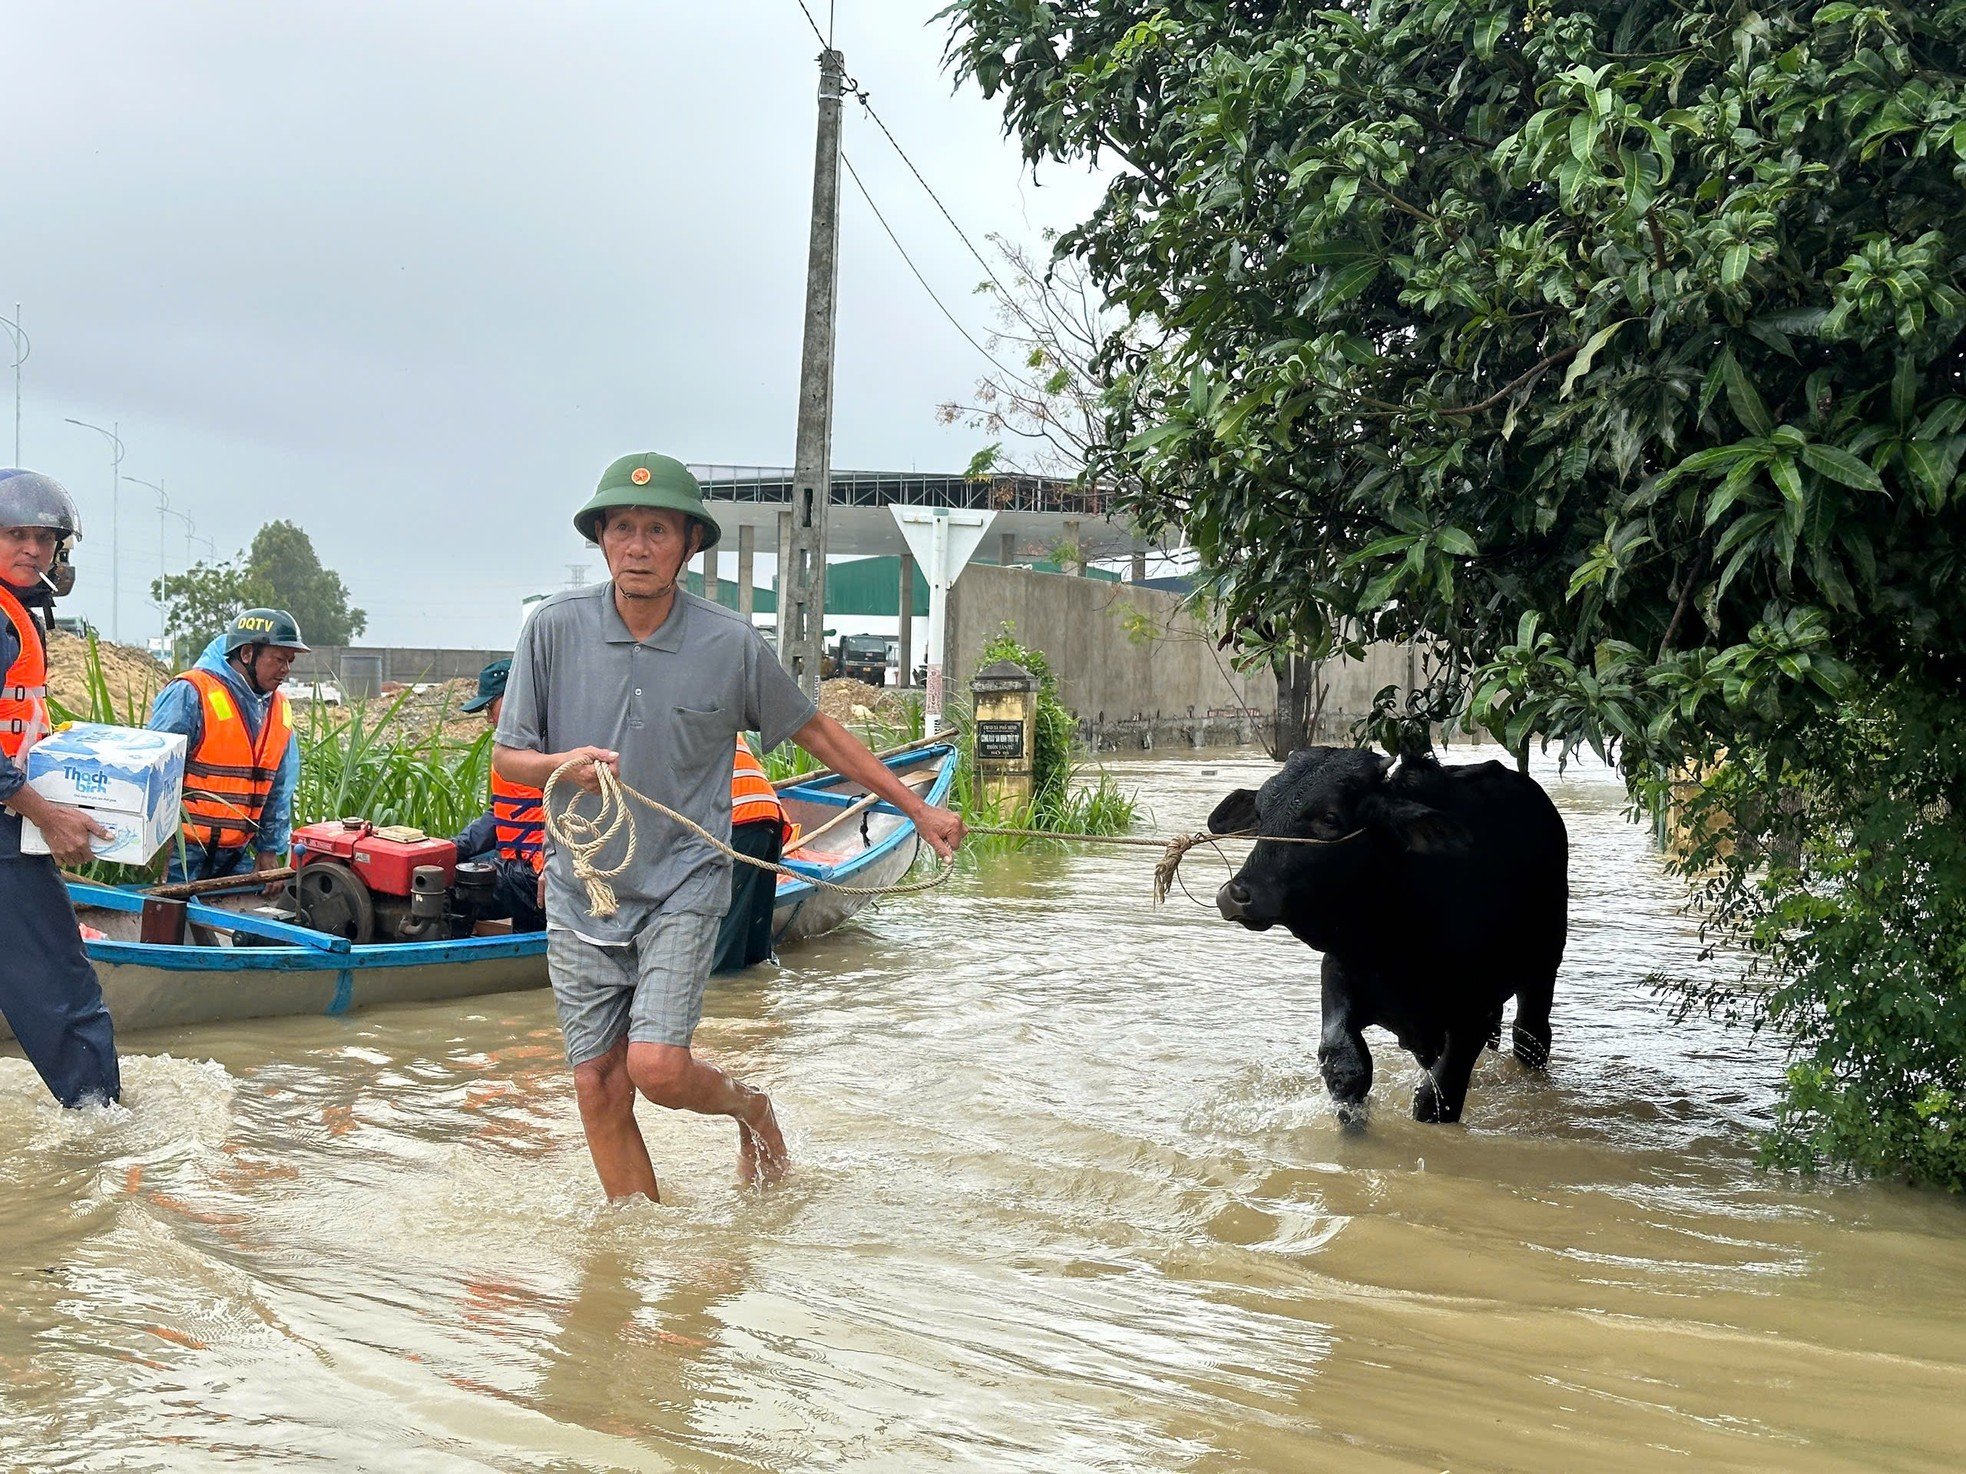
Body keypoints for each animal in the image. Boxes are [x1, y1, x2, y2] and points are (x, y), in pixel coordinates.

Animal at [1203, 750, 1572, 1132]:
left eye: (1330, 818)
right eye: (1260, 813)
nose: (1235, 895)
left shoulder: (1472, 1015)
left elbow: (1437, 1098)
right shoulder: (1337, 971)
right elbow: (1345, 1066)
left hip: (1541, 974)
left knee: (1530, 1037)